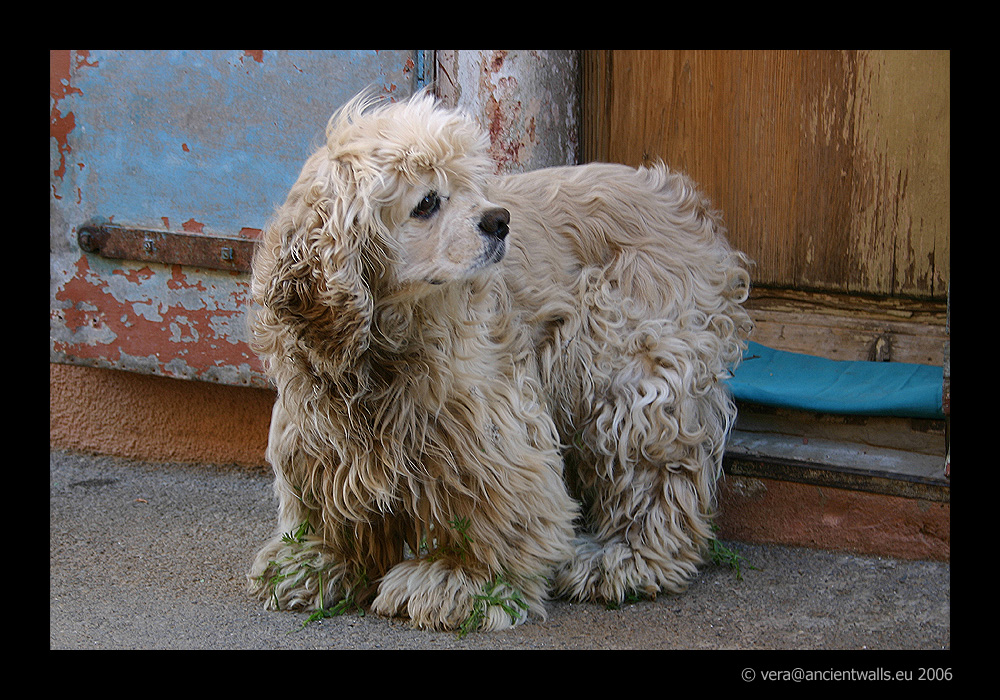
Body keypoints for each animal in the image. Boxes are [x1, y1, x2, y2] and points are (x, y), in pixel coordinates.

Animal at [250, 90, 752, 632]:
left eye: (472, 188)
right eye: (427, 202)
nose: (500, 219)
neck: (384, 345)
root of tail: (683, 199)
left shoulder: (481, 419)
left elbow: (493, 503)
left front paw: (459, 581)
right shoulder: (321, 424)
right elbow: (326, 503)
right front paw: (315, 562)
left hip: (622, 362)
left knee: (654, 475)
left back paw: (620, 559)